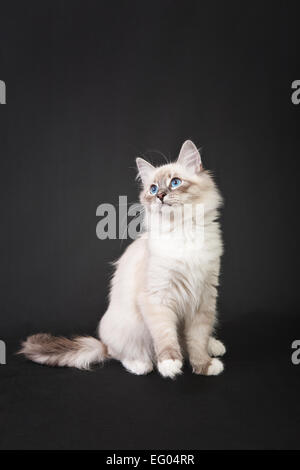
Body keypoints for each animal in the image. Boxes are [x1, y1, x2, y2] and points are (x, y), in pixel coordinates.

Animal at [19, 140, 225, 378]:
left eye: (175, 182)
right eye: (153, 189)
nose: (160, 196)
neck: (183, 231)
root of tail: (103, 342)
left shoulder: (204, 298)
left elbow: (197, 341)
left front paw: (205, 365)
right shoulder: (157, 299)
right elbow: (166, 337)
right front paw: (170, 365)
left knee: (191, 341)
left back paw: (214, 346)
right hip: (128, 330)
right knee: (119, 354)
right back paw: (141, 365)